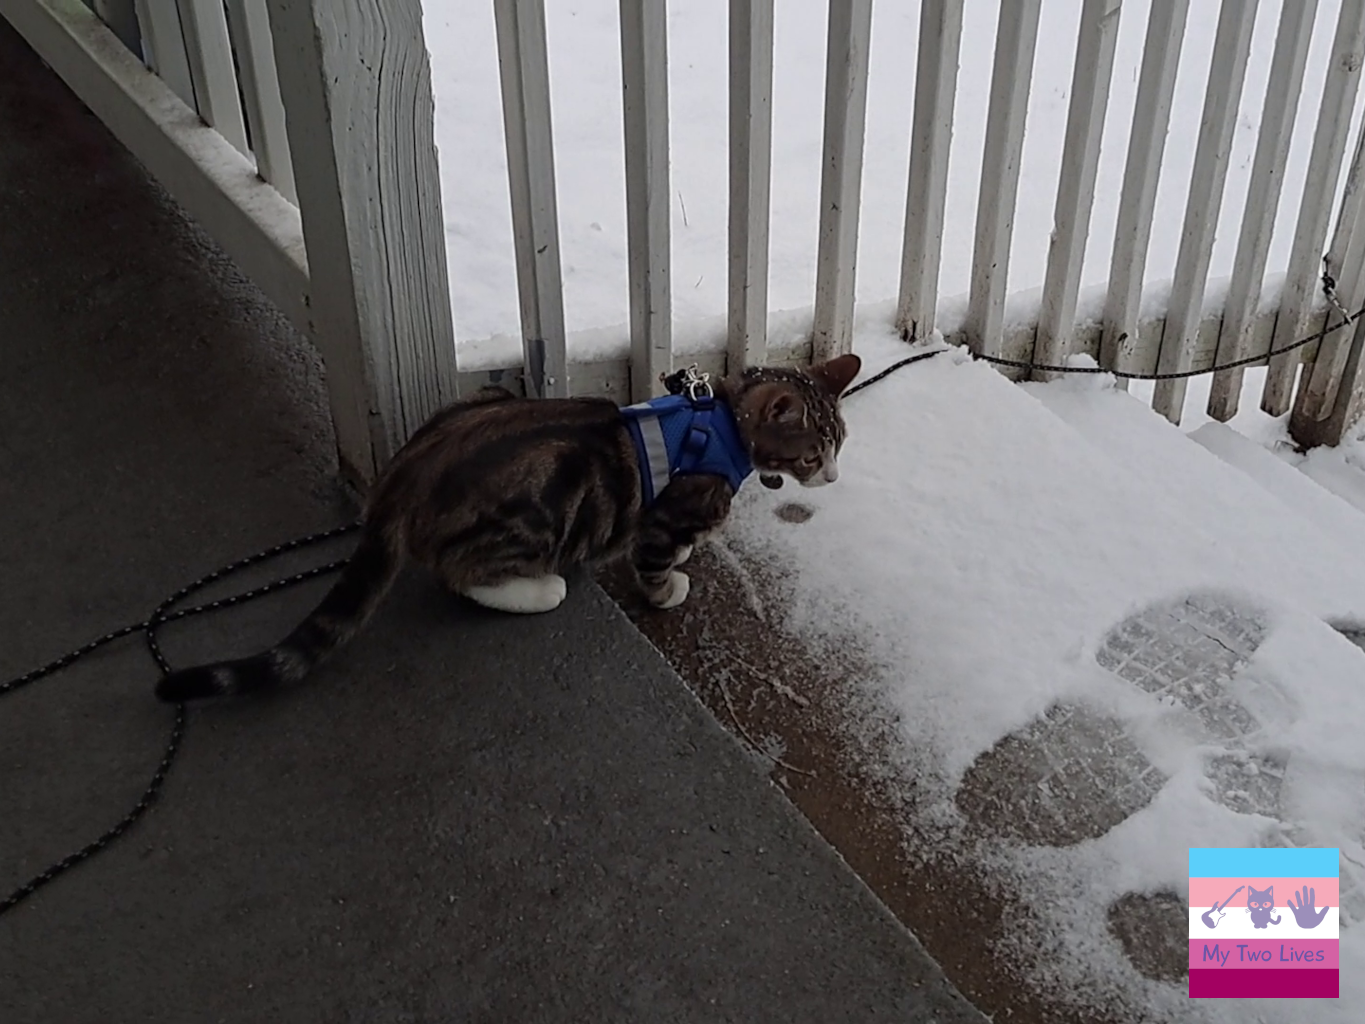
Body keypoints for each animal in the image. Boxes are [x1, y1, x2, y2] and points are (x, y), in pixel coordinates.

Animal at [154, 354, 857, 704]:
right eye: (812, 454)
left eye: (840, 443)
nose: (833, 478)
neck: (720, 422)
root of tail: (401, 479)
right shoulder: (666, 518)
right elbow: (656, 561)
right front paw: (669, 588)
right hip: (529, 516)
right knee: (460, 572)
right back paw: (539, 588)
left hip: (483, 396)